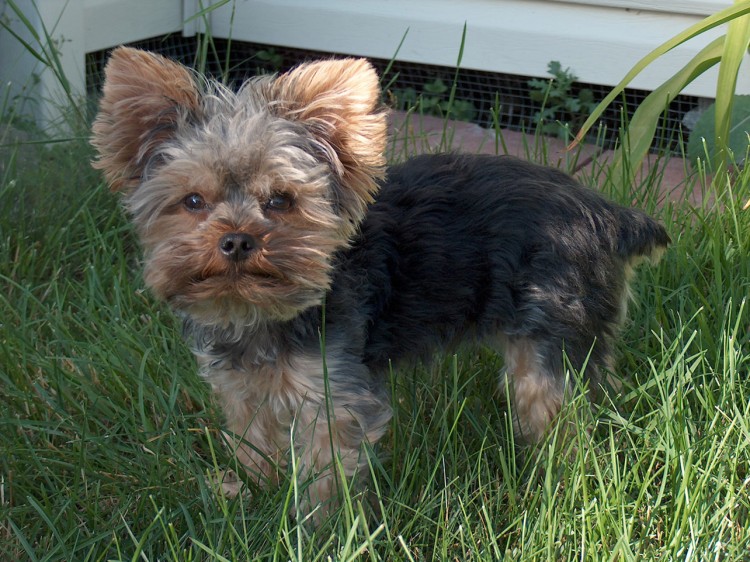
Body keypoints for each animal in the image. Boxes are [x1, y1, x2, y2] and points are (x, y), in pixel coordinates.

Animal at [91, 46, 672, 516]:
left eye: (280, 200)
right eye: (192, 201)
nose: (236, 240)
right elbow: (255, 445)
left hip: (554, 332)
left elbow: (329, 470)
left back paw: (559, 480)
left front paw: (320, 529)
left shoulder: (334, 390)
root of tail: (607, 214)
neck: (259, 316)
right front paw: (252, 497)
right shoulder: (241, 389)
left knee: (561, 408)